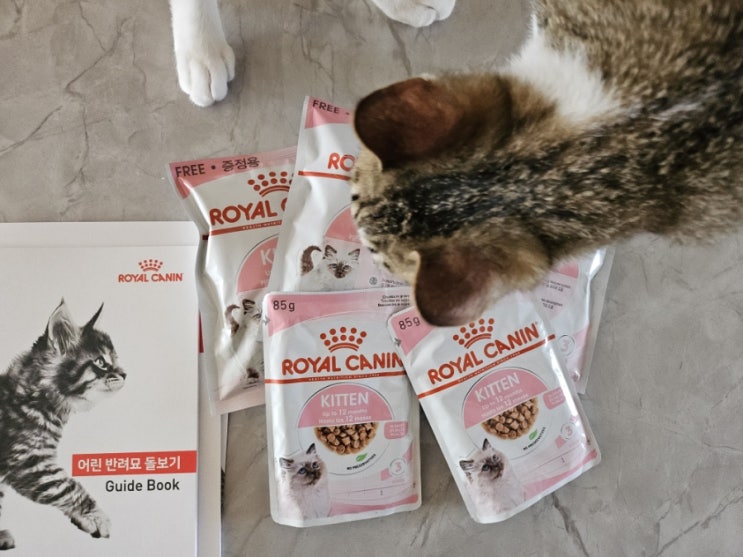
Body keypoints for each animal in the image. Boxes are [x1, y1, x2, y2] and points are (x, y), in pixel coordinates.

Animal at [0, 300, 125, 550]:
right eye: (101, 362)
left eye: (115, 360)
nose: (125, 374)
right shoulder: (27, 460)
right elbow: (67, 486)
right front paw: (97, 517)